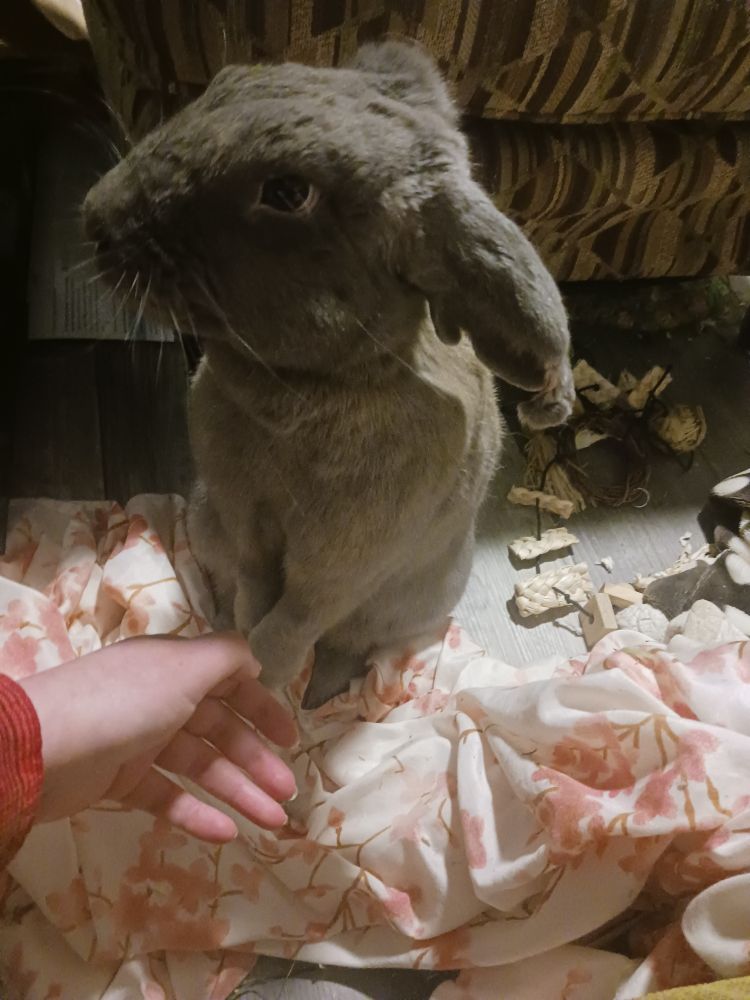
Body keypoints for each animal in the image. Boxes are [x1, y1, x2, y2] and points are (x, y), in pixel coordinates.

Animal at [83, 41, 575, 700]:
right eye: (225, 81)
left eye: (289, 193)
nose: (96, 219)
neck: (307, 386)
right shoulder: (244, 520)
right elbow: (256, 583)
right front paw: (242, 636)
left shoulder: (344, 564)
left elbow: (297, 617)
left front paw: (262, 668)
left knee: (347, 641)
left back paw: (323, 692)